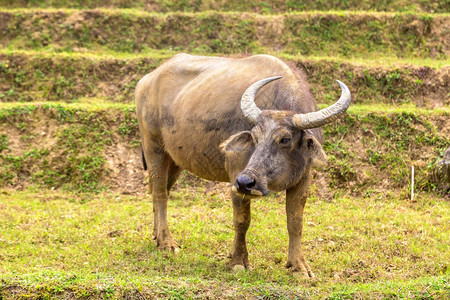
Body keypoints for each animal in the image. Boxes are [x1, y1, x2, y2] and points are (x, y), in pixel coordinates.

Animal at [134, 52, 352, 278]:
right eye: (254, 136)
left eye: (285, 139)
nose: (247, 181)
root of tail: (147, 80)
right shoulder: (235, 175)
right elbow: (242, 220)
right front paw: (238, 261)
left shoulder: (304, 177)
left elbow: (295, 221)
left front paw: (299, 266)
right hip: (154, 147)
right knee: (160, 193)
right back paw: (167, 242)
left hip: (175, 158)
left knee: (162, 190)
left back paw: (156, 235)